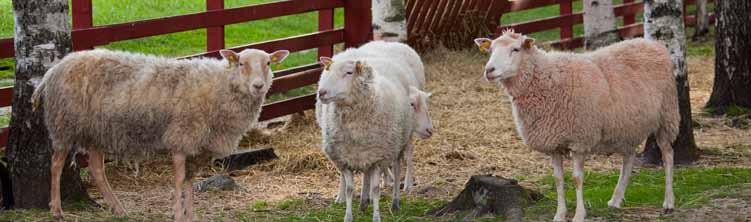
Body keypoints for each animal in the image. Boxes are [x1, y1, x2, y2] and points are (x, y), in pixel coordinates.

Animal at [33, 47, 290, 221]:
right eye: (241, 63)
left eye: (268, 63)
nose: (258, 86)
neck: (221, 86)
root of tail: (53, 70)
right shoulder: (180, 138)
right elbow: (179, 180)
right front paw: (177, 215)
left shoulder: (196, 147)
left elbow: (189, 181)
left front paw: (191, 215)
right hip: (64, 125)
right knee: (56, 165)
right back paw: (57, 210)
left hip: (97, 131)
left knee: (97, 169)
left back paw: (119, 209)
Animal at [314, 57, 414, 222]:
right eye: (329, 70)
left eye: (349, 72)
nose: (321, 93)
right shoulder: (345, 159)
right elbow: (349, 189)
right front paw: (348, 216)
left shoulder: (379, 158)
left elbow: (376, 189)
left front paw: (376, 217)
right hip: (366, 153)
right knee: (366, 174)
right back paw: (363, 203)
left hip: (398, 144)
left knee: (397, 168)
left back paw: (395, 202)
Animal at [476, 30, 680, 222]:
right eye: (491, 50)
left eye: (516, 49)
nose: (489, 70)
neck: (545, 79)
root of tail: (653, 43)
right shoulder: (554, 143)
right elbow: (558, 180)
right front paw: (559, 215)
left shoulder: (579, 140)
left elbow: (576, 179)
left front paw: (579, 215)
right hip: (628, 126)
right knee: (629, 158)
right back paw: (615, 200)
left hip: (667, 115)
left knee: (668, 155)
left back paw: (668, 202)